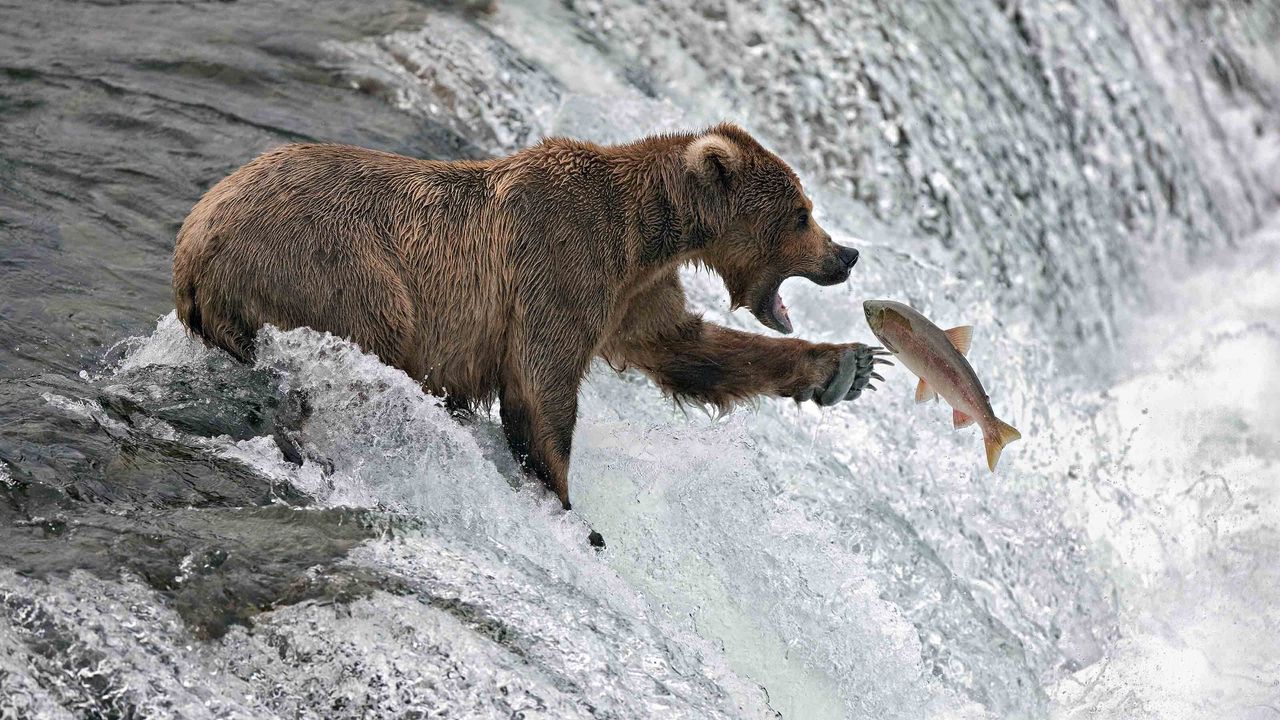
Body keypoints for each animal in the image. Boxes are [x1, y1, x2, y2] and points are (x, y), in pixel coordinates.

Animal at [172, 121, 890, 509]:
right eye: (801, 214)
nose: (847, 255)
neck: (649, 233)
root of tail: (194, 244)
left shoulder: (634, 293)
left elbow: (687, 348)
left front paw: (847, 366)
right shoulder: (562, 262)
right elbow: (541, 387)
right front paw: (564, 499)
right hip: (332, 268)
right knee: (367, 336)